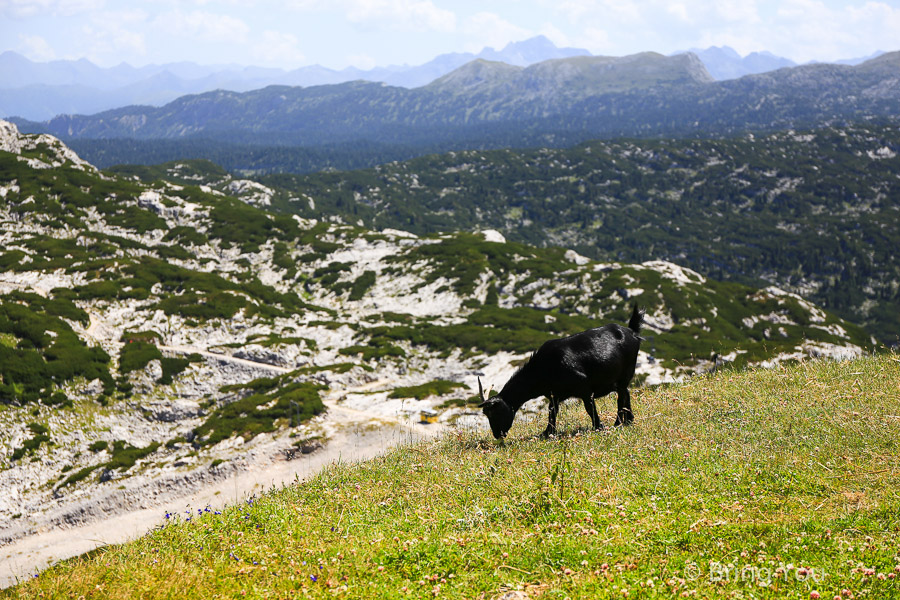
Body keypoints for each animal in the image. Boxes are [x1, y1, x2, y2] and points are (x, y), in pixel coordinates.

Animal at [474, 308, 644, 438]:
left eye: (494, 413)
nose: (497, 434)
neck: (543, 367)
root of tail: (632, 332)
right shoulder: (554, 394)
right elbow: (552, 412)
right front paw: (547, 433)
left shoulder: (583, 386)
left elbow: (589, 408)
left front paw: (598, 426)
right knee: (626, 393)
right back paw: (628, 420)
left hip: (625, 372)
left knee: (622, 395)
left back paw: (618, 422)